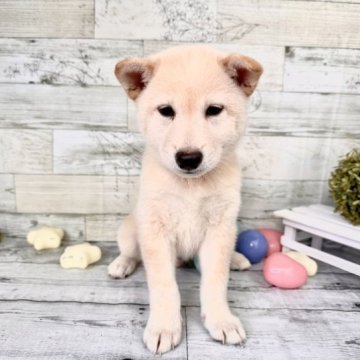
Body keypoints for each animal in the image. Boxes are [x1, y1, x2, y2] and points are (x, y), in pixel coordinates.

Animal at [107, 45, 262, 354]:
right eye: (166, 111)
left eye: (214, 110)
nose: (188, 158)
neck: (192, 186)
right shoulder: (156, 231)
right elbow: (164, 286)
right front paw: (164, 327)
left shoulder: (219, 228)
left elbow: (215, 281)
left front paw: (221, 320)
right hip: (130, 230)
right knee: (131, 252)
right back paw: (122, 264)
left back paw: (236, 258)